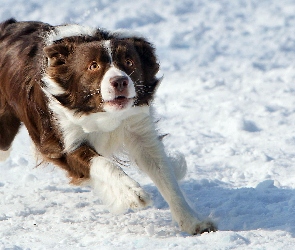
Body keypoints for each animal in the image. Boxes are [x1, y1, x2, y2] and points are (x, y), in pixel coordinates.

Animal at [0, 18, 217, 234]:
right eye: (93, 65)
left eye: (129, 62)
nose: (119, 81)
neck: (101, 113)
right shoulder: (65, 140)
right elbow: (104, 163)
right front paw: (132, 193)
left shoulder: (139, 130)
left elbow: (165, 177)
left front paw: (193, 222)